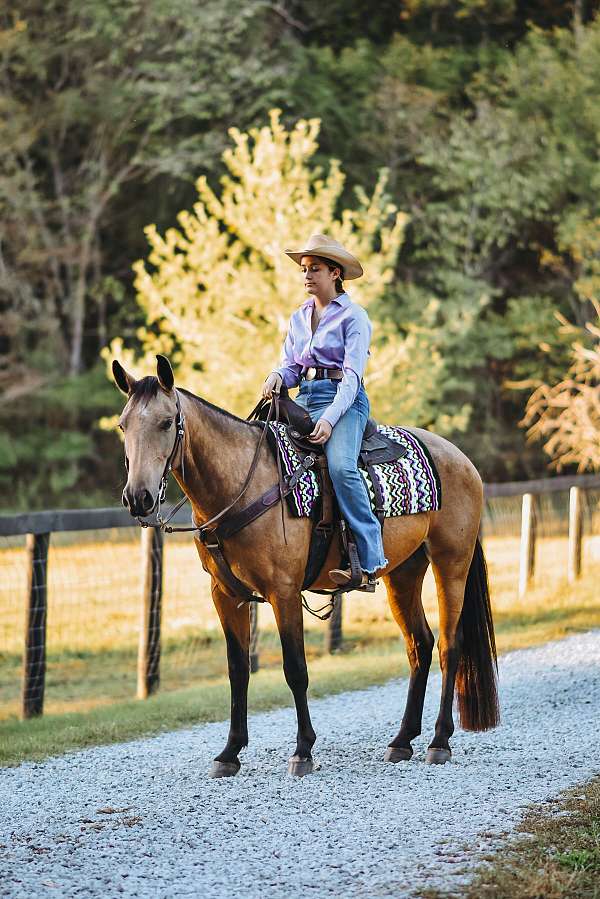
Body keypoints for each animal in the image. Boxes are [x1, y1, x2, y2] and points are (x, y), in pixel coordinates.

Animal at [112, 356, 496, 776]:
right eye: (123, 424)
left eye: (166, 422)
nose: (138, 497)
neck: (242, 484)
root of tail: (462, 459)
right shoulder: (226, 595)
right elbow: (238, 670)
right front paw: (229, 753)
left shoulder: (284, 591)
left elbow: (295, 668)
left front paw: (303, 750)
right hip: (404, 572)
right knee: (419, 645)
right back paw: (401, 740)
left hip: (451, 563)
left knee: (448, 645)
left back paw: (439, 741)